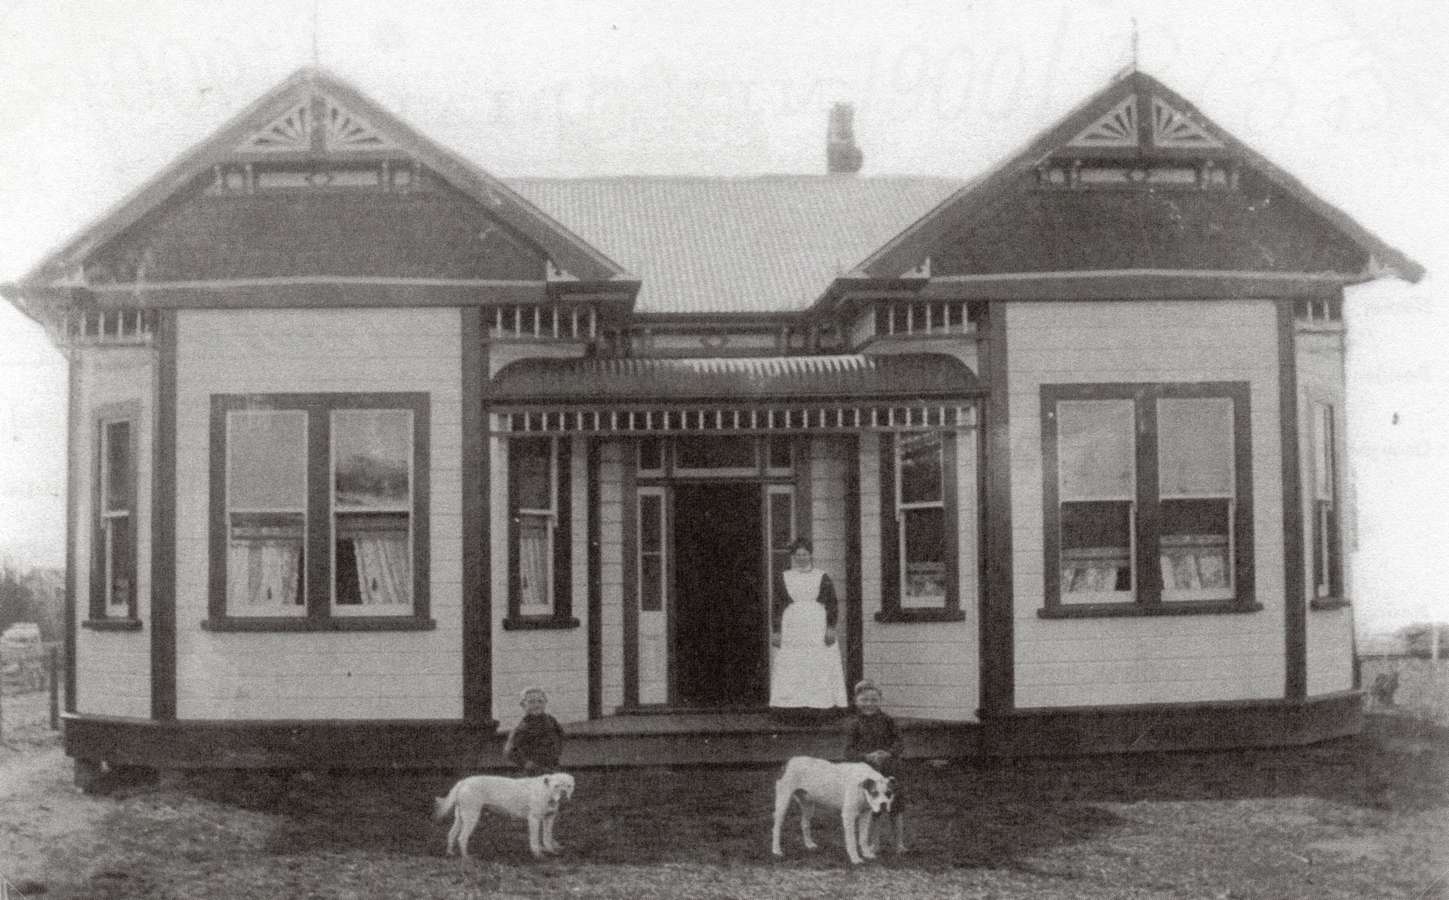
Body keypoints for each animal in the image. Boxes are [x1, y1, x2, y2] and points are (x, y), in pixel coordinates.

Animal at [434, 771, 576, 857]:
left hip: (461, 817)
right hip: (471, 817)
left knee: (452, 833)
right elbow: (535, 838)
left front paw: (550, 850)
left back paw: (450, 852)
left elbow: (547, 836)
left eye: (569, 786)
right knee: (462, 837)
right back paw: (466, 857)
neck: (546, 791)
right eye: (556, 786)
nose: (563, 794)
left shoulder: (549, 819)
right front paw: (537, 853)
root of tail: (463, 782)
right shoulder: (534, 819)